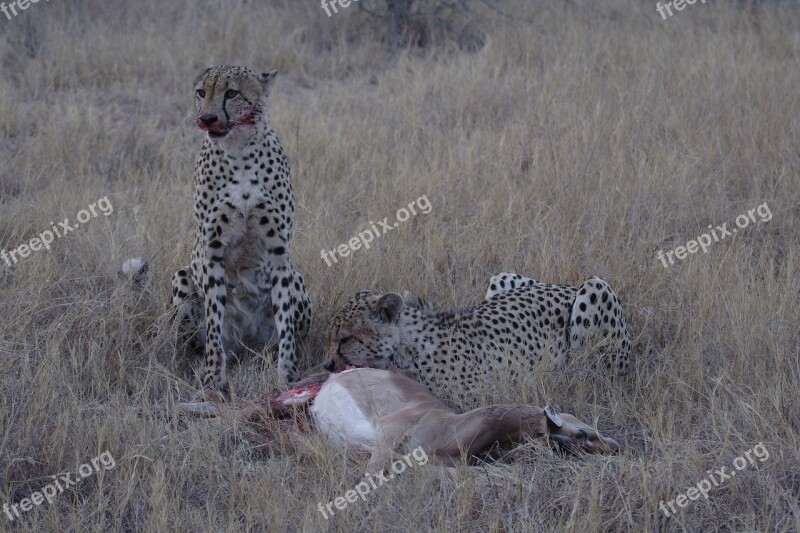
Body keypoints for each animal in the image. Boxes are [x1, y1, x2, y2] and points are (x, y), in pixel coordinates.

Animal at [170, 67, 310, 390]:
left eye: (232, 93)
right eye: (201, 92)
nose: (207, 118)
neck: (239, 151)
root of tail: (245, 342)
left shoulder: (278, 252)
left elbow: (286, 325)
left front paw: (287, 376)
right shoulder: (211, 249)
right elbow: (214, 322)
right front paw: (212, 378)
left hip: (296, 278)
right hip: (182, 277)